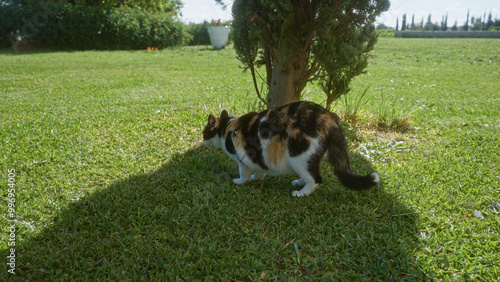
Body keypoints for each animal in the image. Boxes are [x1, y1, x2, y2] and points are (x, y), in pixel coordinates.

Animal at [202, 101, 378, 196]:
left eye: (204, 132)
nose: (202, 140)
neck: (227, 128)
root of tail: (327, 116)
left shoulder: (243, 159)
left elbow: (244, 174)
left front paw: (240, 181)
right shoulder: (258, 158)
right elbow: (259, 170)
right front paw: (257, 178)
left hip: (298, 155)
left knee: (316, 179)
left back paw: (301, 193)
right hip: (306, 159)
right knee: (310, 173)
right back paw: (298, 182)